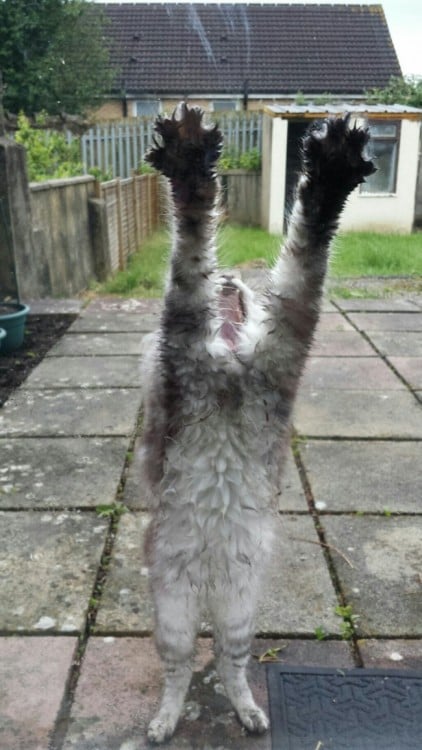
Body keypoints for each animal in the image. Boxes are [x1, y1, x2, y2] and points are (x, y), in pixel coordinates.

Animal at [139, 101, 372, 748]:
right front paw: (189, 162)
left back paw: (247, 711)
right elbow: (191, 244)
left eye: (240, 286)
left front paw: (331, 170)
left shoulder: (287, 335)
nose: (229, 282)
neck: (228, 369)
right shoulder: (181, 348)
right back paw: (165, 720)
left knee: (229, 664)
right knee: (180, 670)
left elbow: (305, 252)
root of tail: (211, 593)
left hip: (240, 612)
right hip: (173, 612)